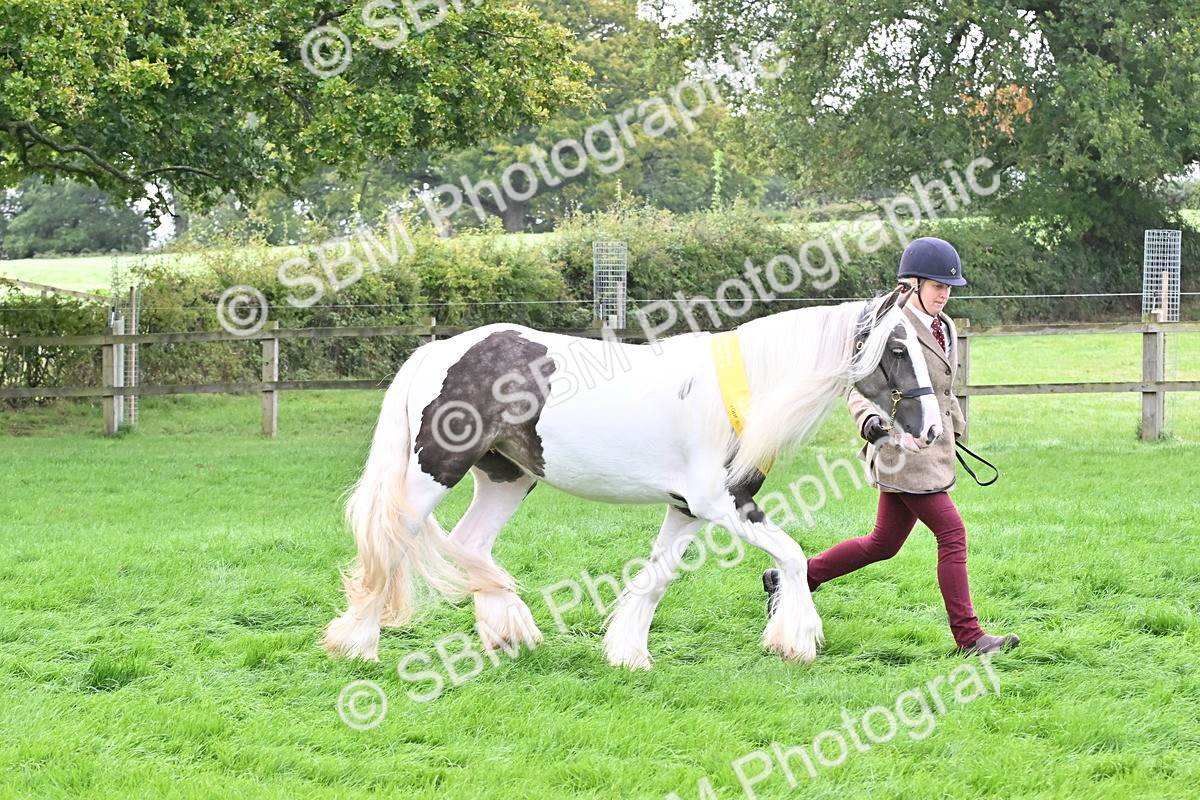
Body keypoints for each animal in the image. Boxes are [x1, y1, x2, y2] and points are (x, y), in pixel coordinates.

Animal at [323, 285, 940, 669]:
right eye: (898, 347)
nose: (933, 430)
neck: (742, 391)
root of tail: (438, 353)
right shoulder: (721, 504)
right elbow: (789, 554)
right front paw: (799, 640)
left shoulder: (688, 510)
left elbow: (659, 576)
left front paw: (628, 654)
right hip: (434, 472)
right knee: (390, 541)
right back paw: (359, 645)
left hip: (507, 478)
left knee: (472, 545)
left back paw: (509, 633)